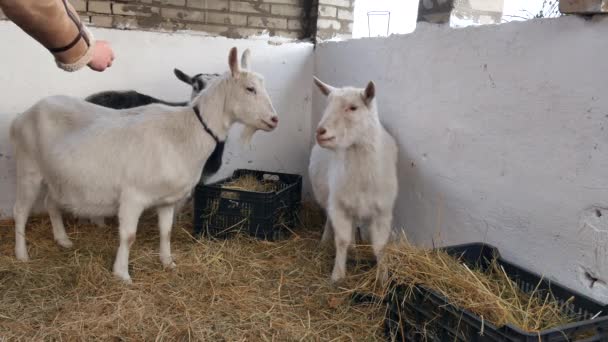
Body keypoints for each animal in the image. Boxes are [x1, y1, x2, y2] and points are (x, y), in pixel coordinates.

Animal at [11, 47, 278, 284]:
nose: (274, 120)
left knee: (51, 203)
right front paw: (122, 274)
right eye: (250, 88)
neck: (187, 130)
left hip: (56, 175)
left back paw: (63, 240)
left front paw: (168, 263)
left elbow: (166, 231)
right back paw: (22, 255)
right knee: (21, 211)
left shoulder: (168, 199)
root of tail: (24, 115)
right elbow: (129, 236)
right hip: (28, 168)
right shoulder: (133, 196)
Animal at [308, 76, 400, 282]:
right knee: (331, 221)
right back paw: (327, 242)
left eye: (353, 107)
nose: (320, 132)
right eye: (327, 104)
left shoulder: (382, 211)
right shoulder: (339, 206)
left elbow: (380, 246)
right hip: (330, 199)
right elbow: (341, 240)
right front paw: (337, 275)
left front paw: (383, 277)